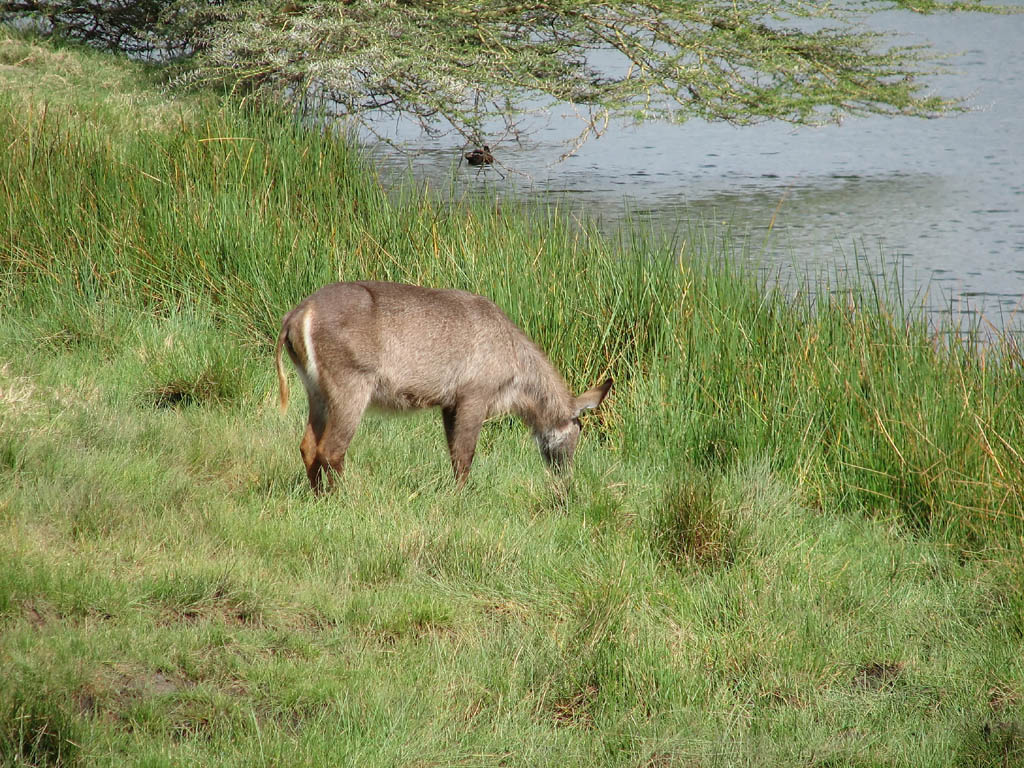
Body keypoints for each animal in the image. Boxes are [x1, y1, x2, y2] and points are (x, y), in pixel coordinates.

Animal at [272, 282, 610, 493]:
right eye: (577, 433)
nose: (565, 480)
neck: (514, 359)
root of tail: (299, 313)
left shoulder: (450, 404)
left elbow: (453, 453)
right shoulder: (475, 396)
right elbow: (465, 454)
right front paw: (460, 498)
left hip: (316, 391)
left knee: (308, 446)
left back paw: (319, 497)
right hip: (351, 388)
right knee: (331, 449)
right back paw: (345, 497)